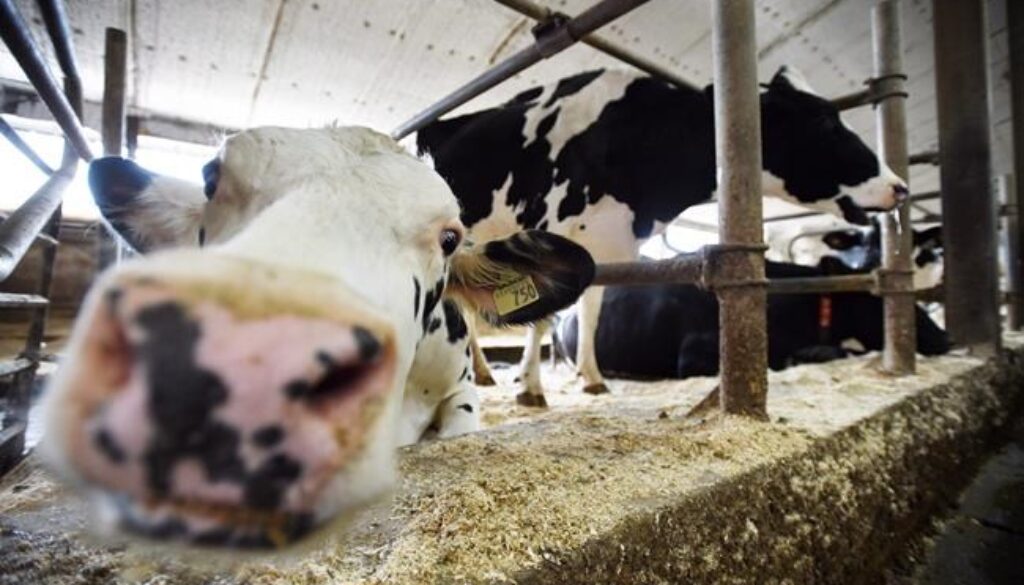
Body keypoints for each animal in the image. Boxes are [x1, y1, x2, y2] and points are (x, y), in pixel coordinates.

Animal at [417, 66, 909, 407]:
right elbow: (540, 318)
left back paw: (483, 371)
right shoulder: (549, 222)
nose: (900, 186)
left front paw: (592, 378)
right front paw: (531, 388)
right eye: (825, 122)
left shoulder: (605, 241)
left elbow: (590, 310)